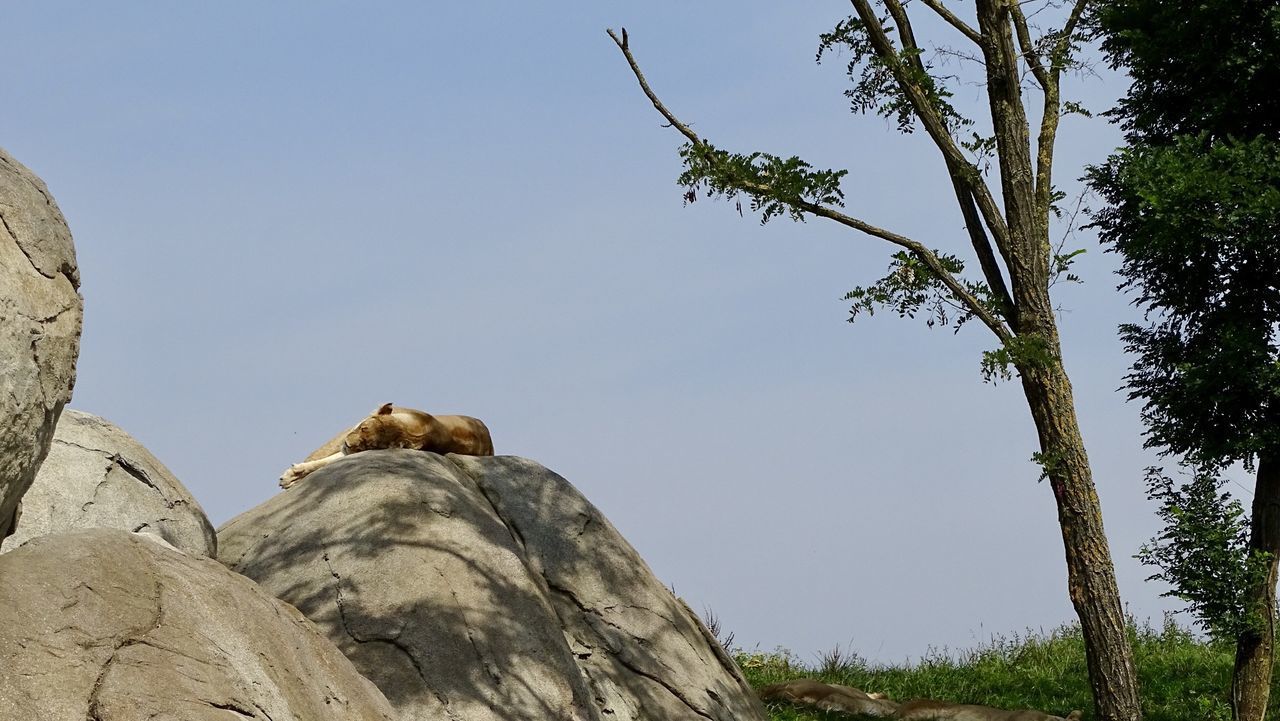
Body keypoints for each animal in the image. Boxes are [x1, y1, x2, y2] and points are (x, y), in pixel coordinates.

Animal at [277, 404, 491, 489]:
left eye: (370, 444)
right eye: (363, 427)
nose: (348, 444)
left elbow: (327, 461)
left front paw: (292, 477)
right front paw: (293, 475)